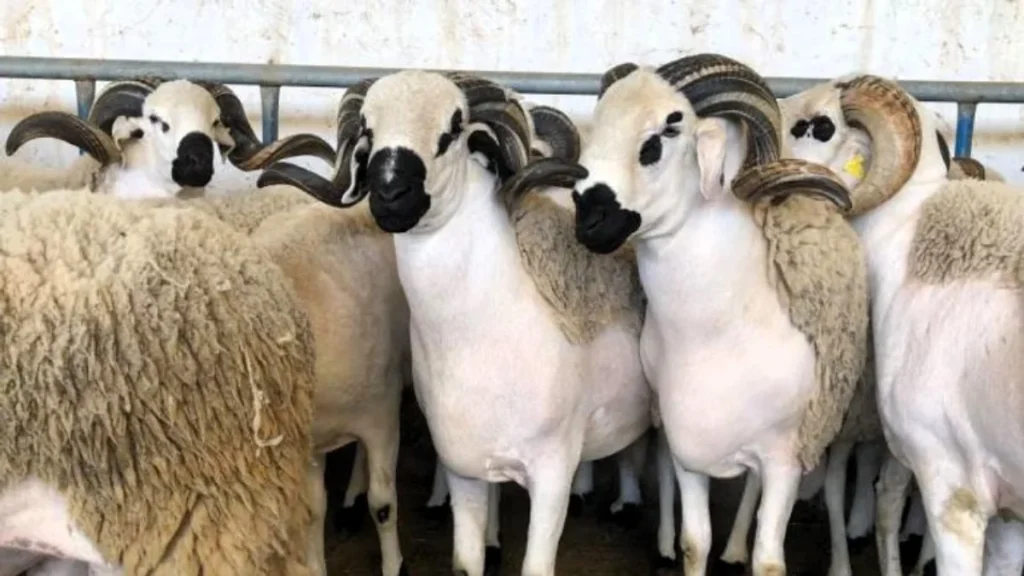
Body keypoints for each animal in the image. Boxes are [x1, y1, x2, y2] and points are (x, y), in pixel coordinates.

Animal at [254, 70, 653, 576]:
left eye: (453, 129)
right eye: (368, 132)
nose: (390, 196)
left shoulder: (551, 473)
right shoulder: (465, 469)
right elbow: (465, 562)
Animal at [541, 54, 870, 575]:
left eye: (663, 135)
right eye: (601, 120)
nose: (588, 220)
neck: (717, 332)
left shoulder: (784, 458)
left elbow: (770, 561)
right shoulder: (686, 449)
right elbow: (695, 541)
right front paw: (684, 546)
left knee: (824, 489)